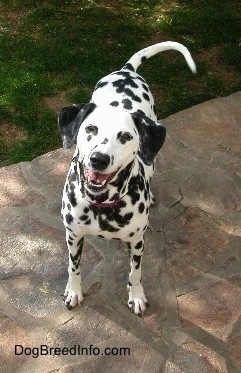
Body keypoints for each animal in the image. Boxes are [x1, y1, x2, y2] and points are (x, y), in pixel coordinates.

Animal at [58, 40, 196, 314]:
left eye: (125, 136)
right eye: (90, 129)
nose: (99, 159)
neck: (101, 204)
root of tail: (127, 71)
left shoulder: (137, 242)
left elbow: (135, 272)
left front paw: (137, 295)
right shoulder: (73, 235)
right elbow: (73, 266)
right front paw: (74, 290)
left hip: (152, 157)